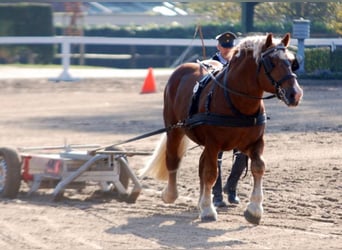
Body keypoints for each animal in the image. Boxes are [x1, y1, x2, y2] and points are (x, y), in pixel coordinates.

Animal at [140, 32, 304, 223]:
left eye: (291, 62)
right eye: (271, 62)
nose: (295, 94)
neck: (236, 102)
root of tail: (184, 68)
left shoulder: (255, 143)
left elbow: (258, 167)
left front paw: (254, 209)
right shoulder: (213, 144)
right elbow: (211, 173)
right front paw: (208, 210)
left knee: (201, 165)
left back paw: (201, 201)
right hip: (174, 129)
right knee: (173, 158)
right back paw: (171, 194)